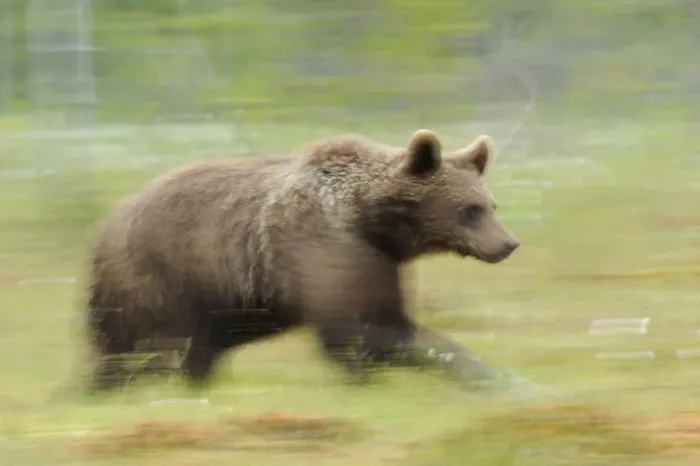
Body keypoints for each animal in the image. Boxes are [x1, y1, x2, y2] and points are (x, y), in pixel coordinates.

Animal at [85, 129, 521, 392]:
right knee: (150, 347)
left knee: (186, 351)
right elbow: (361, 329)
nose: (508, 243)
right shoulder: (325, 245)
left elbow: (376, 319)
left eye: (491, 204)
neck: (369, 220)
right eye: (469, 209)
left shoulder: (378, 260)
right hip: (164, 274)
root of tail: (107, 223)